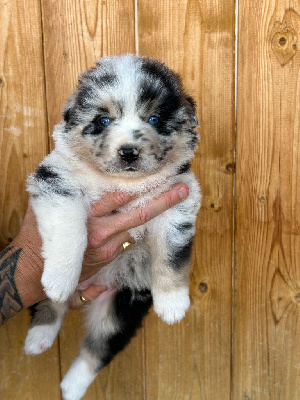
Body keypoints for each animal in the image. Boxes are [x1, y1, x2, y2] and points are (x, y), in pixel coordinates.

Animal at [24, 54, 202, 400]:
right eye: (104, 121)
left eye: (155, 119)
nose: (129, 151)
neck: (123, 184)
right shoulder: (57, 180)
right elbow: (70, 231)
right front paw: (60, 278)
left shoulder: (179, 200)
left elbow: (172, 256)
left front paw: (173, 303)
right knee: (51, 305)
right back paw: (40, 334)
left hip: (123, 302)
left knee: (100, 346)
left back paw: (70, 386)